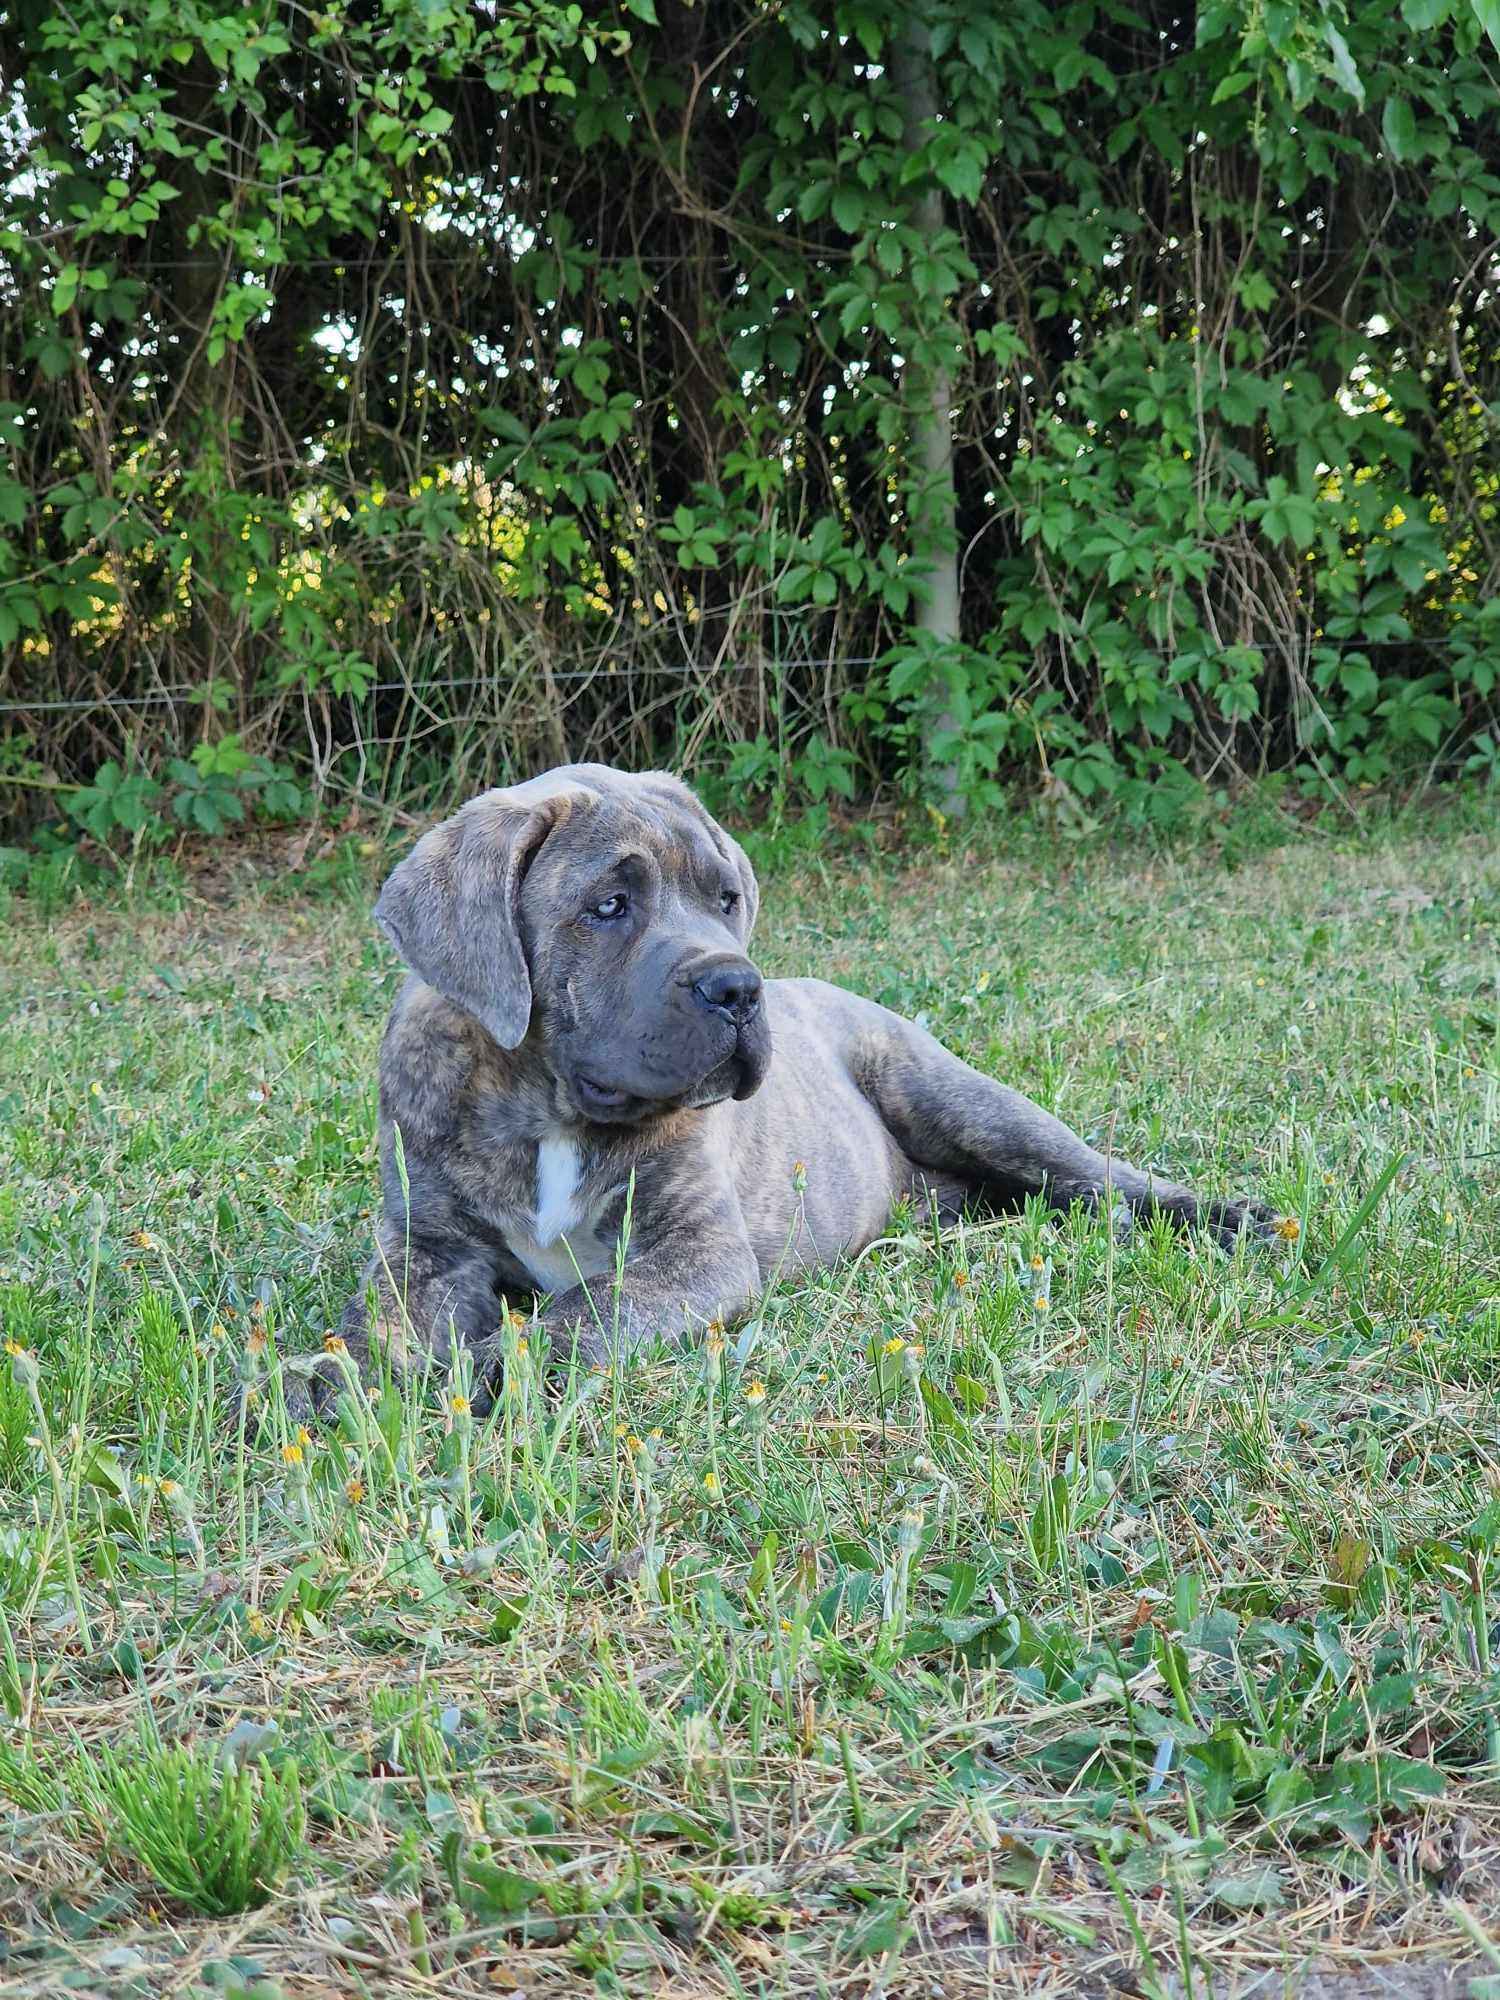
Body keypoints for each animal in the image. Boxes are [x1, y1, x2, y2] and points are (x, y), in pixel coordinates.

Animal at [332, 764, 1280, 1408]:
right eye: (607, 906)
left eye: (725, 899)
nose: (736, 987)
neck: (545, 1107)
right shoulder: (425, 1246)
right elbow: (379, 1318)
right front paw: (333, 1379)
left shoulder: (700, 1254)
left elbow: (580, 1313)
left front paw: (486, 1366)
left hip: (967, 1103)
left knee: (1106, 1178)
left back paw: (1235, 1219)